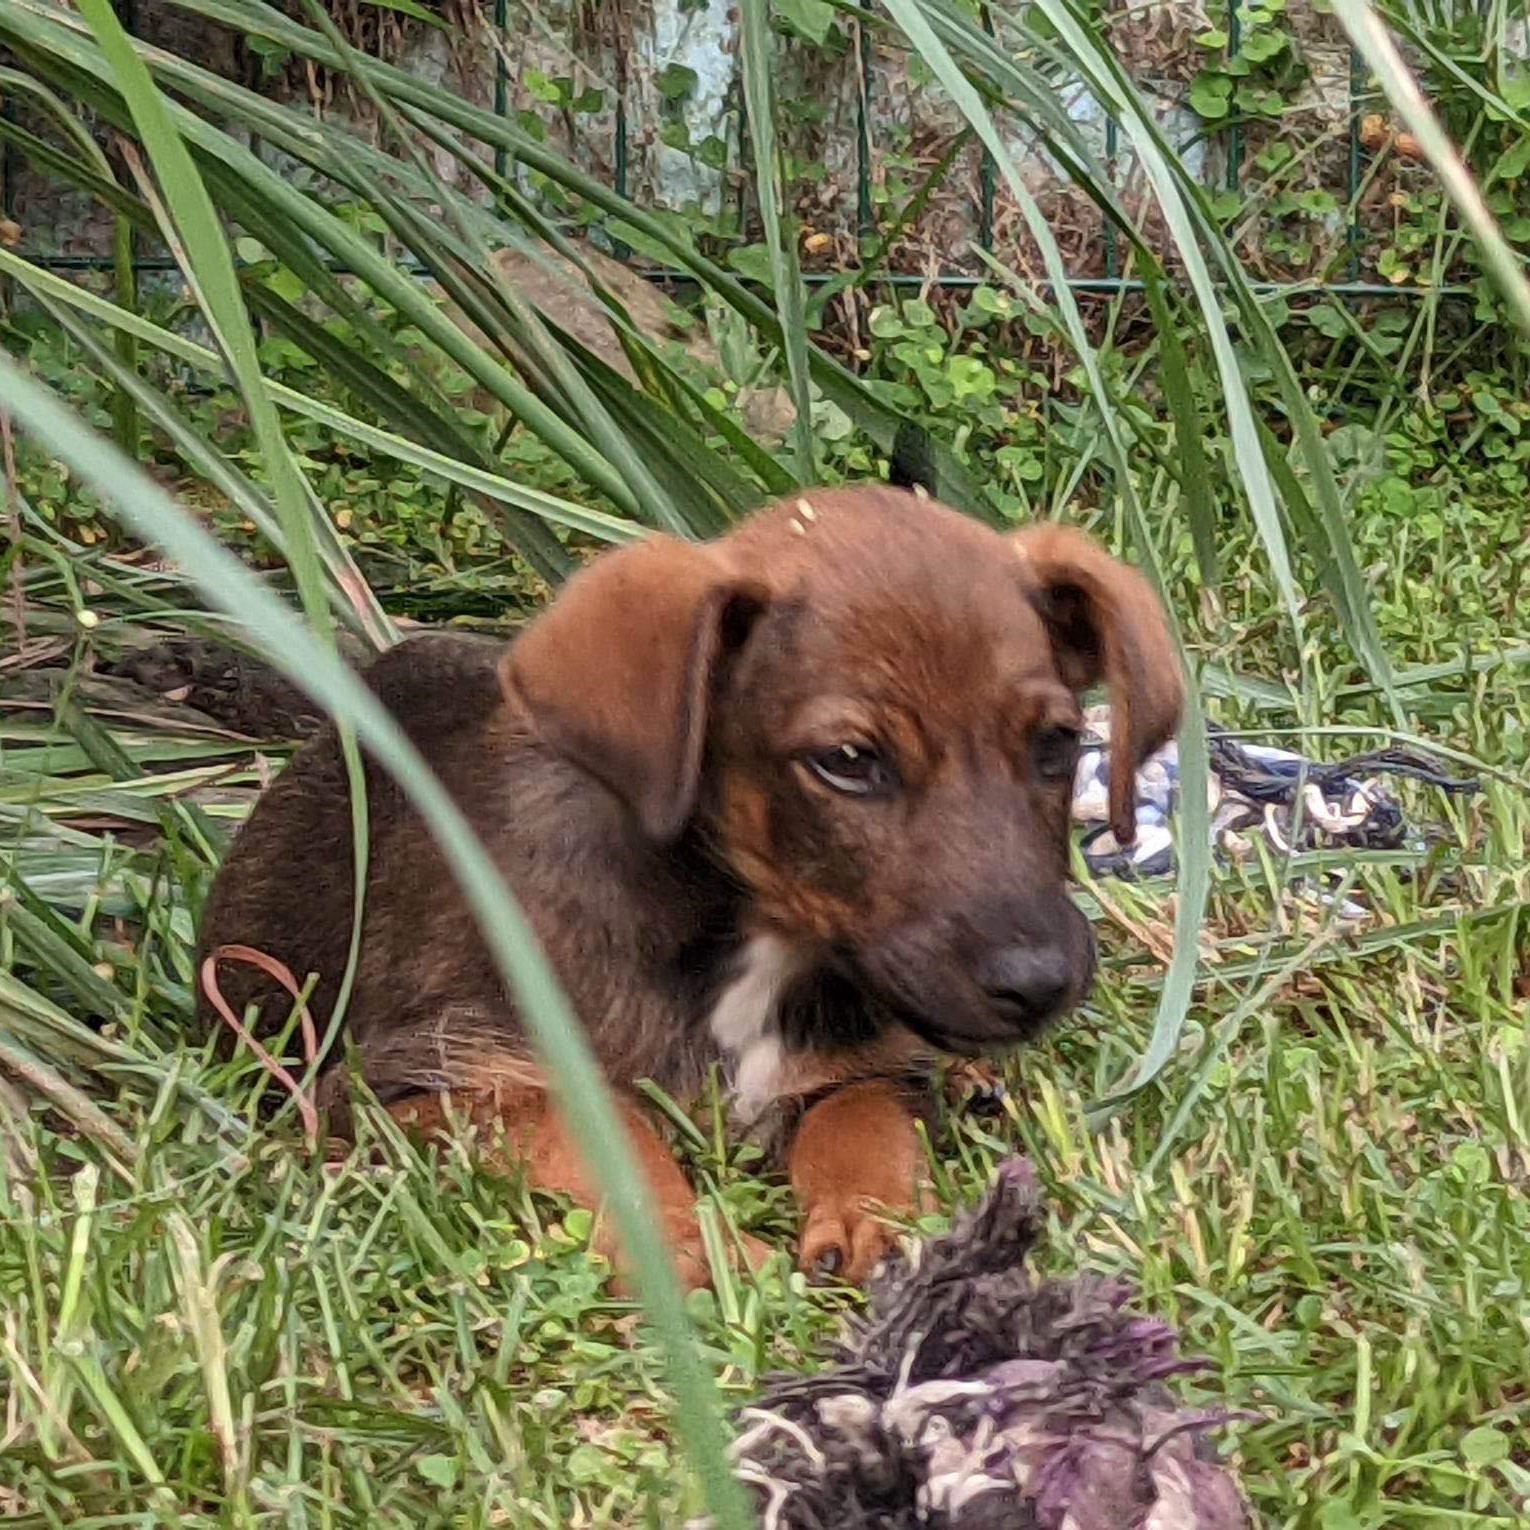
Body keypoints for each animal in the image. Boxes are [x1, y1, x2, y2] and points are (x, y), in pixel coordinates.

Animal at [194, 483, 1181, 1285]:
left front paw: (880, 1223)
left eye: (1057, 744)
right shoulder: (421, 1079)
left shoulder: (857, 1068)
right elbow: (599, 1137)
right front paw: (685, 1246)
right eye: (847, 762)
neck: (749, 947)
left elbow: (863, 1126)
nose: (1041, 983)